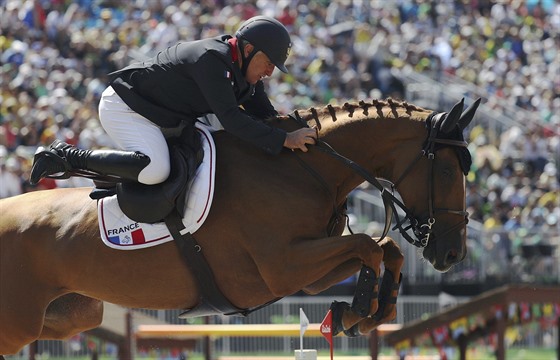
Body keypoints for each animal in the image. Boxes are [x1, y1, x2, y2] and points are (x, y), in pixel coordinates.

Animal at [1, 98, 482, 354]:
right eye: (447, 172)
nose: (452, 253)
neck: (300, 167)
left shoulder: (305, 275)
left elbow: (387, 250)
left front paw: (371, 313)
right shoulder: (283, 267)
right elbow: (368, 245)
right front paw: (360, 309)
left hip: (70, 316)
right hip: (18, 324)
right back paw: (54, 158)